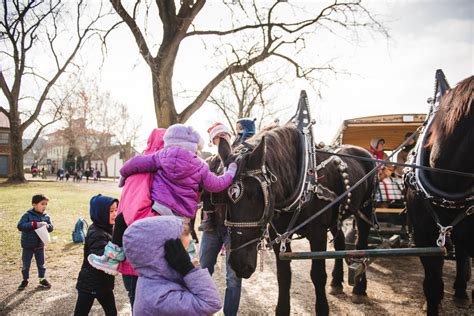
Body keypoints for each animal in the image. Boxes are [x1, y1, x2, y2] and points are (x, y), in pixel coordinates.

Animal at [217, 125, 376, 316]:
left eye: (256, 195)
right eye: (223, 197)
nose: (239, 265)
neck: (302, 180)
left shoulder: (318, 234)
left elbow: (318, 275)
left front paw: (322, 309)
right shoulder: (278, 234)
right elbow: (284, 275)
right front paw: (282, 309)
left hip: (365, 210)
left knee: (361, 245)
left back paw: (359, 289)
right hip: (336, 217)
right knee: (340, 243)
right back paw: (337, 282)